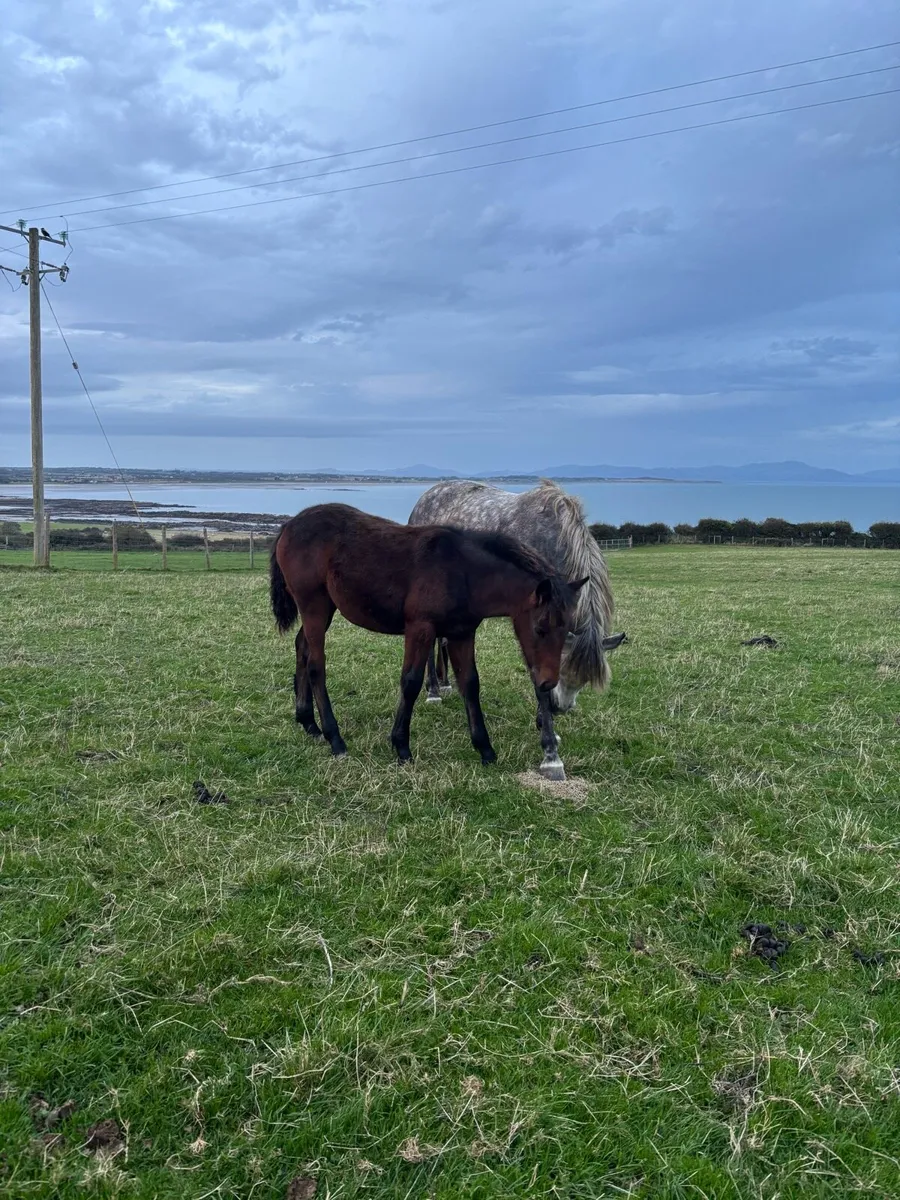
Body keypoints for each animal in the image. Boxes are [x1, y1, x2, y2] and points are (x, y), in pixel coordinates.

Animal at [269, 503, 586, 777]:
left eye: (568, 630)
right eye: (541, 628)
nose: (547, 683)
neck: (464, 572)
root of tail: (289, 525)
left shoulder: (461, 634)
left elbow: (470, 684)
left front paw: (485, 749)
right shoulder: (420, 629)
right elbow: (411, 681)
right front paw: (401, 746)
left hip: (325, 609)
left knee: (301, 647)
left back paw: (308, 722)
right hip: (314, 604)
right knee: (316, 664)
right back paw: (335, 738)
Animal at [408, 480, 617, 719]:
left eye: (584, 681)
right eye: (563, 669)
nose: (560, 708)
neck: (550, 539)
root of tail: (424, 499)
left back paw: (444, 683)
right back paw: (433, 690)